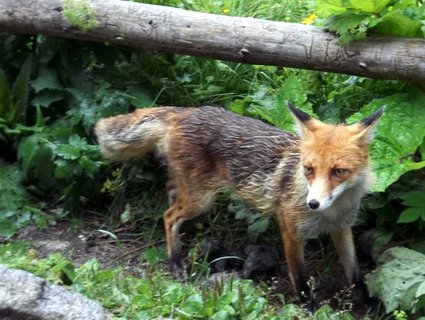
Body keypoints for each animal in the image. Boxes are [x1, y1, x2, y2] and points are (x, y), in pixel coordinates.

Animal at [94, 104, 382, 298]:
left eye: (338, 171)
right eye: (309, 169)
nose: (312, 204)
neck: (333, 212)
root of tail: (185, 111)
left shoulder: (342, 229)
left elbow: (354, 272)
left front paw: (366, 302)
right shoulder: (290, 230)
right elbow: (300, 279)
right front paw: (307, 306)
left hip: (193, 191)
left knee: (171, 190)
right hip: (202, 199)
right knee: (168, 216)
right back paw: (175, 261)